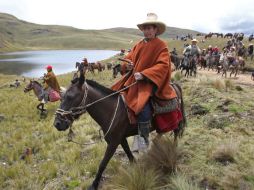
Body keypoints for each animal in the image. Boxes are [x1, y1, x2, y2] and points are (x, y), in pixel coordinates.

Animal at [54, 73, 187, 189]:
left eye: (70, 97)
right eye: (62, 97)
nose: (57, 123)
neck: (112, 110)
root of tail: (174, 85)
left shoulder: (113, 143)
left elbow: (103, 164)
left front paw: (94, 185)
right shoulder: (121, 139)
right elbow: (129, 154)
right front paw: (135, 168)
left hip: (174, 120)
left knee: (175, 133)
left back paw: (172, 148)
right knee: (160, 134)